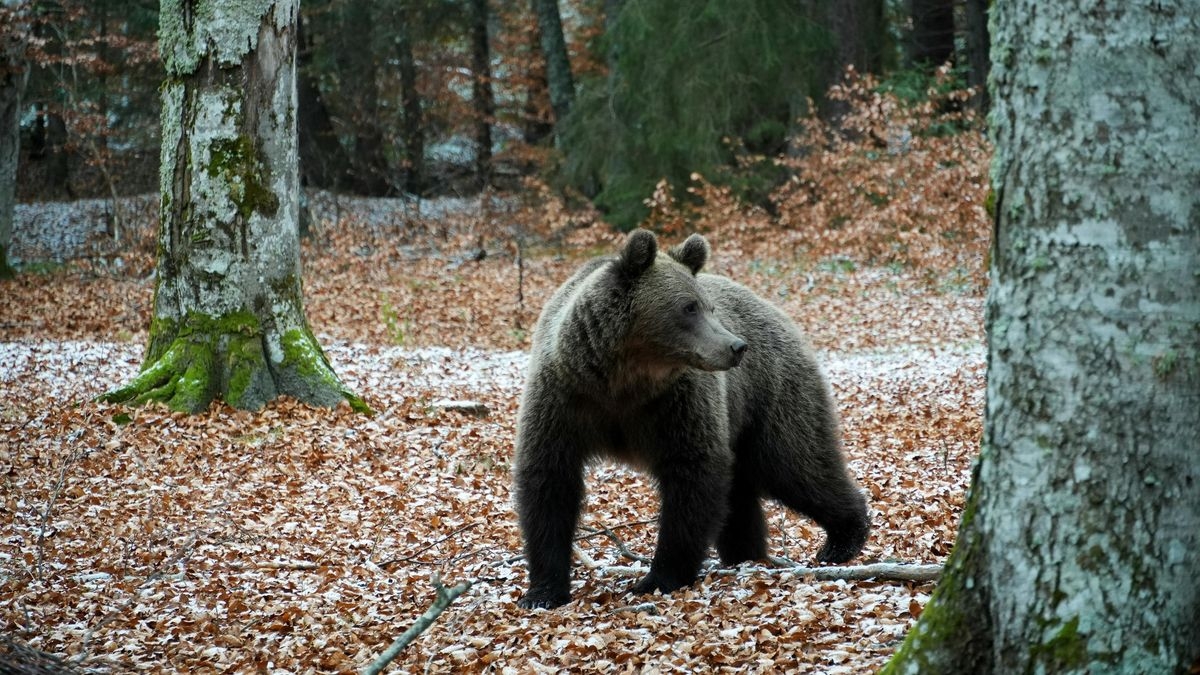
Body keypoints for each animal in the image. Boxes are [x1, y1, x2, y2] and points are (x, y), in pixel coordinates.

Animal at [513, 229, 869, 609]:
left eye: (708, 306)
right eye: (689, 307)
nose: (736, 346)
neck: (622, 382)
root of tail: (774, 309)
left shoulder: (677, 405)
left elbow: (692, 475)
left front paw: (658, 577)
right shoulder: (566, 400)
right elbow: (549, 481)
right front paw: (542, 591)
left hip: (770, 392)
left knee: (795, 463)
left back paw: (842, 539)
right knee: (745, 489)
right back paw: (745, 553)